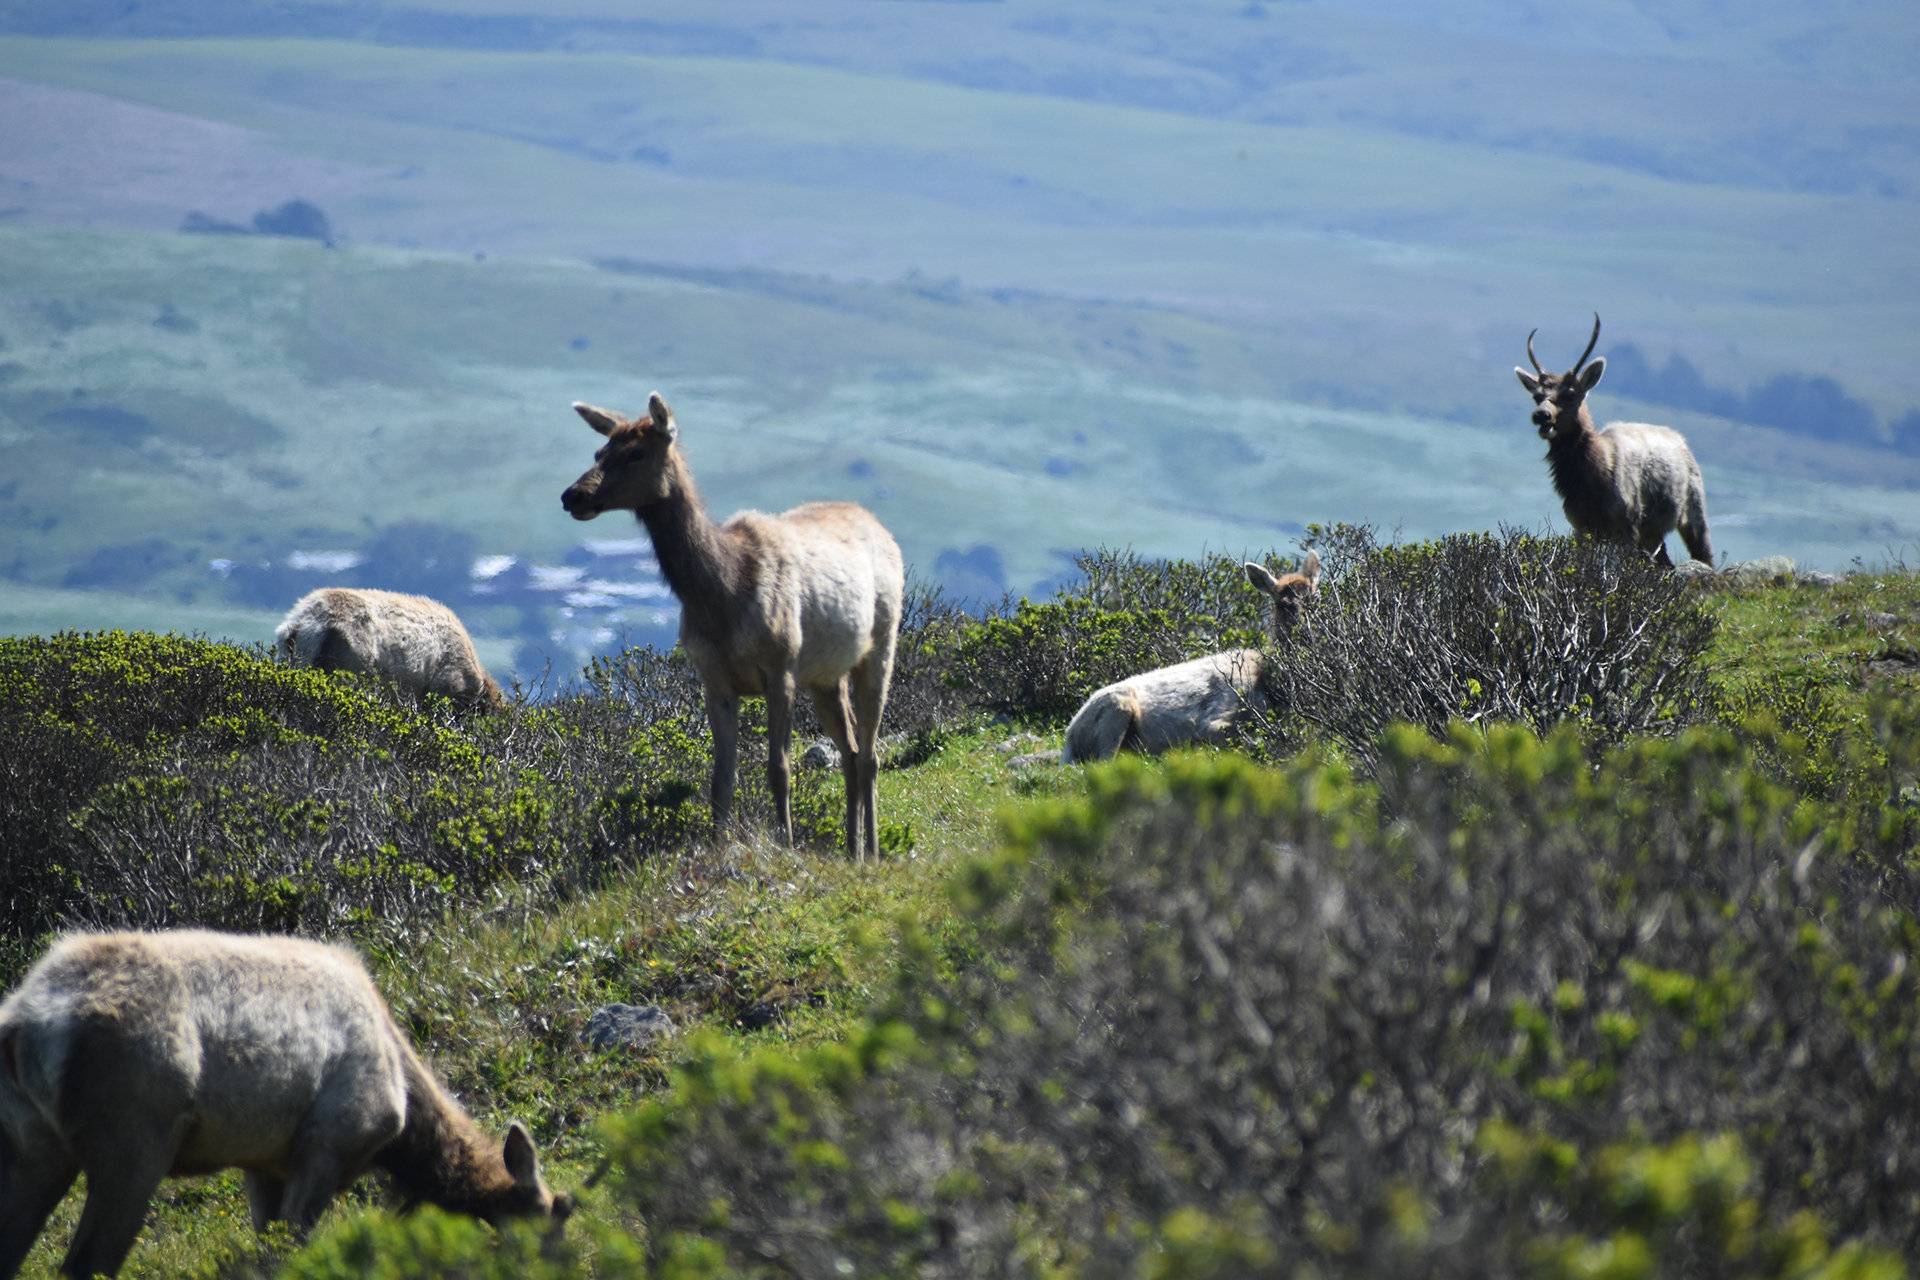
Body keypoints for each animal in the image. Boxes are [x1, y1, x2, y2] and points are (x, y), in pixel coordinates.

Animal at [0, 929, 570, 1280]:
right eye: (550, 1221)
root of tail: (28, 1021)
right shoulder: (329, 1140)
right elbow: (293, 1249)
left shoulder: (264, 1162)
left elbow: (265, 1248)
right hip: (135, 1138)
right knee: (85, 1263)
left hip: (33, 1145)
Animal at [561, 393, 904, 861]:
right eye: (599, 452)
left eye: (636, 453)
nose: (572, 495)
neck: (721, 599)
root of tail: (883, 529)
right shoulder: (715, 681)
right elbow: (720, 780)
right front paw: (718, 849)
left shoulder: (781, 666)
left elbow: (779, 769)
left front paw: (786, 844)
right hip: (824, 675)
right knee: (850, 751)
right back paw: (851, 850)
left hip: (882, 641)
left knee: (869, 754)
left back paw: (872, 851)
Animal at [1060, 552, 1320, 764]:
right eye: (1283, 604)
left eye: (1316, 599)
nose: (1307, 632)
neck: (1269, 685)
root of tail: (1069, 737)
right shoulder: (1215, 717)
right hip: (1116, 707)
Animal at [1516, 314, 1713, 567]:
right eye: (1537, 396)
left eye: (1570, 394)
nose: (1542, 415)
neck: (1592, 484)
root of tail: (1683, 443)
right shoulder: (1581, 526)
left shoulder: (1628, 520)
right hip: (1652, 533)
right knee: (1665, 565)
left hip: (1694, 508)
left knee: (1705, 554)